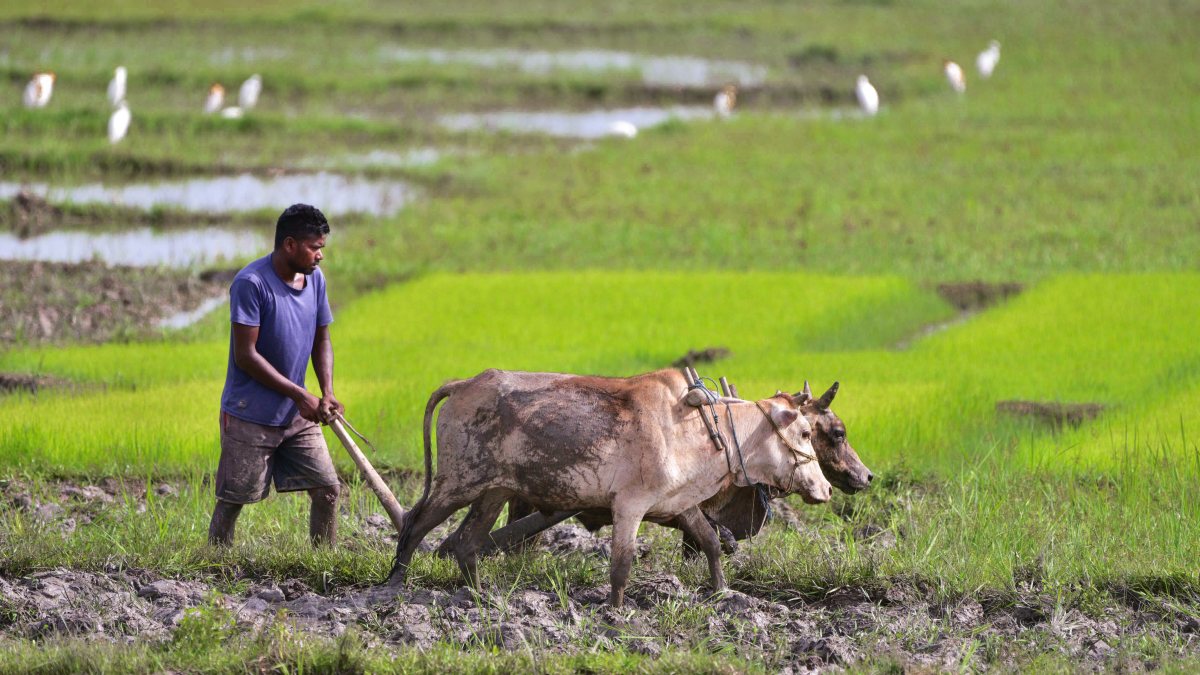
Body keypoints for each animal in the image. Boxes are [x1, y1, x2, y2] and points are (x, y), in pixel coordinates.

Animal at [387, 368, 832, 607]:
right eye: (805, 432)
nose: (826, 490)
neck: (704, 428)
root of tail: (464, 384)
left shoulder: (678, 502)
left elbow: (709, 541)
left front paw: (721, 591)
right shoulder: (630, 505)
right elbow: (621, 565)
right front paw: (616, 613)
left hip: (493, 492)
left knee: (466, 543)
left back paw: (481, 597)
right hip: (457, 482)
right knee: (415, 523)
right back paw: (394, 584)